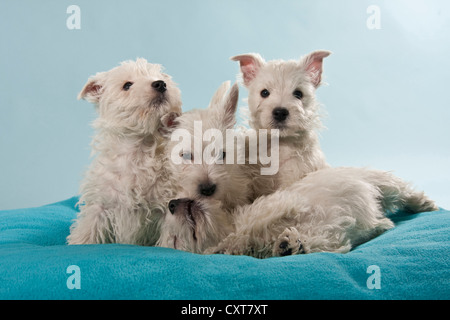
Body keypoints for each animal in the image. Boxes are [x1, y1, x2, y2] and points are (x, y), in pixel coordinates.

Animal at [66, 58, 181, 245]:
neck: (138, 149)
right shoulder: (100, 204)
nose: (160, 84)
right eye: (127, 85)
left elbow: (170, 239)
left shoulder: (169, 210)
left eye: (160, 77)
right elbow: (87, 230)